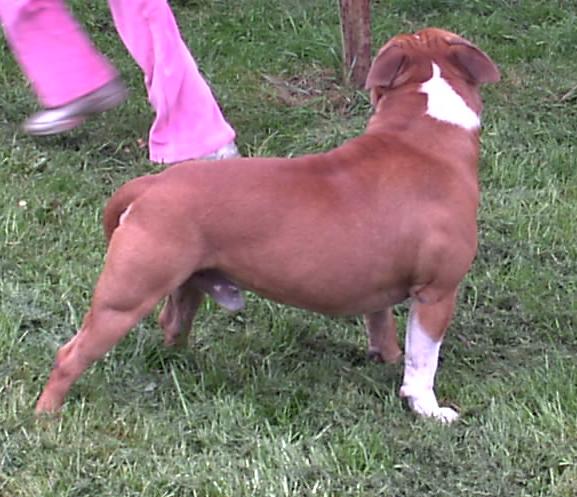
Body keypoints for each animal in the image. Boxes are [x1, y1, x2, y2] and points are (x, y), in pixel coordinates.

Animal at [35, 28, 500, 422]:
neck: (422, 127)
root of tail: (151, 185)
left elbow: (380, 323)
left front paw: (385, 357)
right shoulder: (436, 294)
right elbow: (424, 359)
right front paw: (426, 407)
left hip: (185, 283)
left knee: (173, 323)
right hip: (124, 300)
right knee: (71, 354)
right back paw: (47, 414)